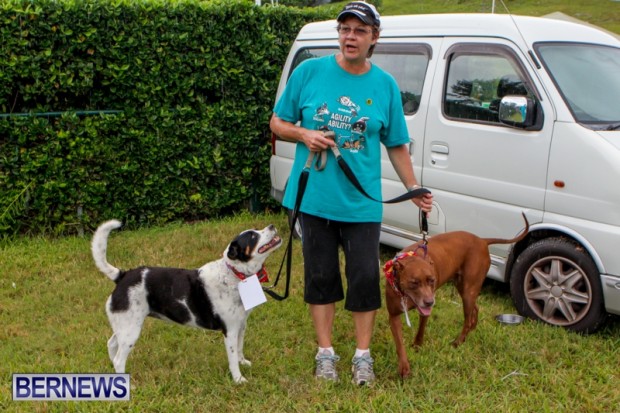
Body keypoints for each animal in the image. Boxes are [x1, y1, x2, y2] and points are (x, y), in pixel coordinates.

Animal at [91, 220, 282, 383]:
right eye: (253, 237)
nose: (272, 226)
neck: (235, 275)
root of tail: (122, 276)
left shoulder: (241, 325)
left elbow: (240, 350)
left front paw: (243, 363)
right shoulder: (230, 330)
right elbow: (233, 359)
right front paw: (238, 379)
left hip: (123, 326)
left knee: (111, 344)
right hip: (130, 330)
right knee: (119, 359)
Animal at [385, 213, 529, 378]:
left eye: (431, 280)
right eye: (414, 282)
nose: (430, 302)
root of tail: (482, 240)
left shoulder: (425, 311)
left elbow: (421, 330)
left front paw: (417, 345)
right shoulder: (394, 315)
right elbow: (399, 343)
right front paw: (404, 366)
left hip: (468, 291)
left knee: (467, 318)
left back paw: (459, 341)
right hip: (465, 288)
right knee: (475, 309)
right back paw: (471, 330)